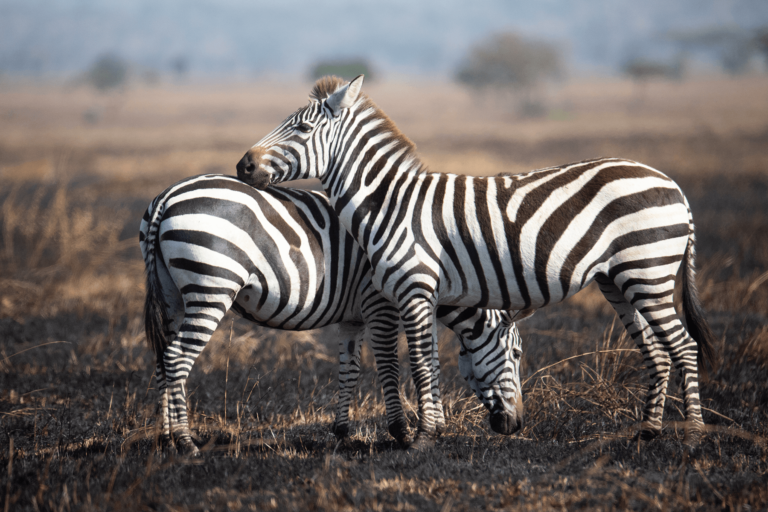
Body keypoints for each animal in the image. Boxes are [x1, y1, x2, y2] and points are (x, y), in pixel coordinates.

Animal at [140, 174, 520, 454]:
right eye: (516, 354)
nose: (517, 426)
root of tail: (167, 196)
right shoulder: (380, 303)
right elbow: (389, 364)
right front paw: (402, 431)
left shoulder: (353, 317)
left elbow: (350, 368)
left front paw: (342, 431)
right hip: (211, 289)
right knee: (176, 359)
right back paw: (185, 442)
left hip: (172, 296)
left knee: (162, 360)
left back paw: (165, 439)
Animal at [237, 75, 716, 448]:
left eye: (301, 128)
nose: (243, 165)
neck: (388, 203)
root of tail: (672, 184)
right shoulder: (425, 295)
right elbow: (428, 361)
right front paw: (431, 430)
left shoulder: (415, 288)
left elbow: (420, 362)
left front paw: (422, 438)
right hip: (619, 280)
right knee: (656, 349)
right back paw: (648, 431)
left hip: (649, 270)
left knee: (683, 345)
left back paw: (693, 435)